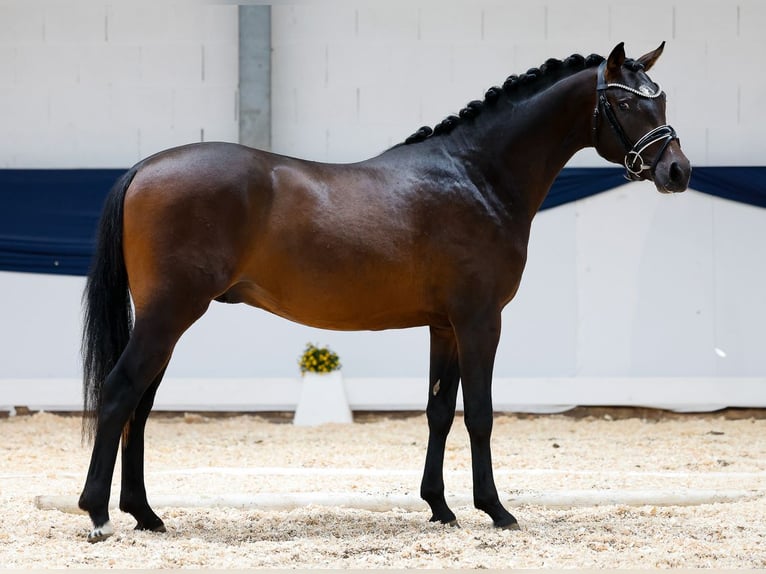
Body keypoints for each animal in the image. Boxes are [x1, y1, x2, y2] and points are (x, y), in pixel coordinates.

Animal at [78, 42, 696, 544]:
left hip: (165, 319)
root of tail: (145, 167)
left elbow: (439, 411)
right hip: (169, 314)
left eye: (662, 101)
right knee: (120, 392)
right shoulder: (480, 321)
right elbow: (480, 413)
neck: (477, 176)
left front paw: (440, 508)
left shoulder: (444, 325)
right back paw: (99, 514)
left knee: (141, 404)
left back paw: (145, 514)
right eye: (628, 105)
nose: (678, 171)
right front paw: (495, 510)